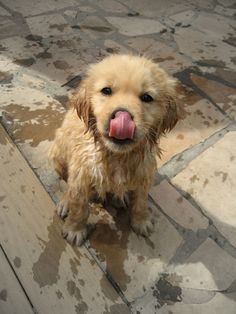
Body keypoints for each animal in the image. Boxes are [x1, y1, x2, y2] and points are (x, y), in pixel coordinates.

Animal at [49, 53, 179, 245]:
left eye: (147, 97)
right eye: (106, 91)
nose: (122, 116)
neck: (117, 155)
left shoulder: (144, 172)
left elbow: (141, 201)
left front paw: (141, 220)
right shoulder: (81, 173)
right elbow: (79, 205)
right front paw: (75, 229)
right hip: (57, 155)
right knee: (66, 183)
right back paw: (65, 202)